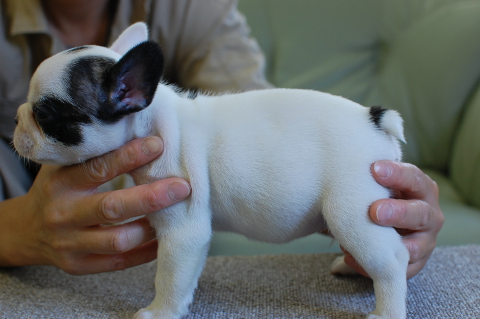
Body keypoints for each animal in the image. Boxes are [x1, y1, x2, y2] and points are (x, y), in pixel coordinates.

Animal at [13, 23, 408, 319]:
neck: (152, 122)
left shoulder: (183, 227)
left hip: (349, 208)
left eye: (45, 115)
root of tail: (373, 119)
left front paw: (161, 311)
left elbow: (169, 276)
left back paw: (386, 310)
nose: (17, 118)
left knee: (393, 259)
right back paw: (350, 266)